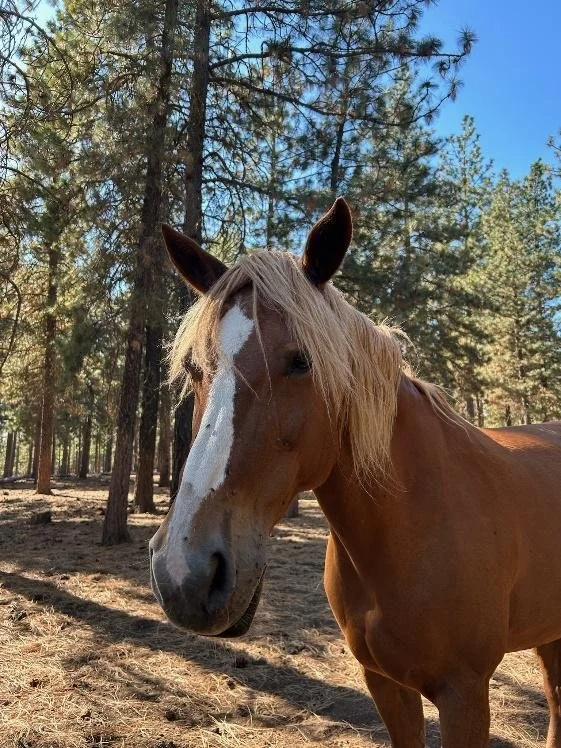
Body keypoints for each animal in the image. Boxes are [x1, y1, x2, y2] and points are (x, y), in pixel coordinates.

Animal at [149, 198, 561, 747]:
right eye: (194, 367)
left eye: (301, 361)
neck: (411, 525)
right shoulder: (385, 684)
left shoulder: (466, 695)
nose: (185, 573)